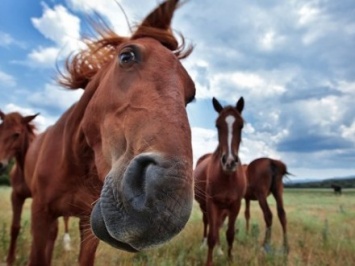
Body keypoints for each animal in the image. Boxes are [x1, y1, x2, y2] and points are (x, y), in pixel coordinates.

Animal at [0, 110, 71, 264]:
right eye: (0, 130)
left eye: (17, 134)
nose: (0, 164)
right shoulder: (17, 195)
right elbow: (15, 227)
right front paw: (10, 259)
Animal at [23, 1, 195, 264]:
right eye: (126, 56)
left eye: (191, 94)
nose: (166, 206)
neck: (75, 162)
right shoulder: (41, 216)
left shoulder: (87, 226)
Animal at [195, 97, 248, 266]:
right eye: (217, 125)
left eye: (241, 125)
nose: (229, 162)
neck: (227, 177)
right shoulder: (212, 203)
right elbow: (212, 234)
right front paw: (209, 260)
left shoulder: (235, 204)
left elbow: (230, 234)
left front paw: (229, 258)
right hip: (204, 204)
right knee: (207, 223)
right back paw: (203, 244)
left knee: (218, 225)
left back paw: (219, 249)